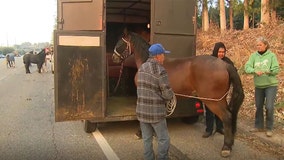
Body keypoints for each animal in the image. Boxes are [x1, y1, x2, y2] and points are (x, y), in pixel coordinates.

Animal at [112, 30, 245, 158]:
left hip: (213, 101)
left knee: (227, 117)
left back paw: (226, 147)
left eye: (120, 43)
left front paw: (139, 133)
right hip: (220, 100)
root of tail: (225, 65)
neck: (148, 62)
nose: (114, 58)